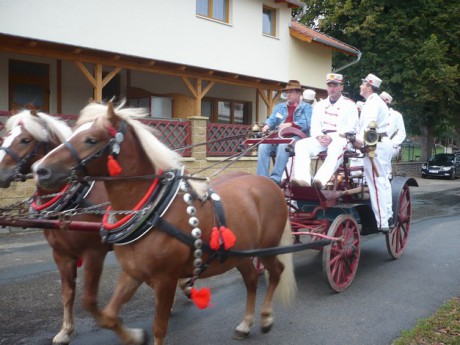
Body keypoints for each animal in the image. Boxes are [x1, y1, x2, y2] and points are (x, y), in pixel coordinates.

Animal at [0, 109, 112, 342]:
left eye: (25, 140)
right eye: (6, 136)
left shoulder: (95, 252)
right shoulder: (61, 253)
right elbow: (67, 292)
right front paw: (65, 330)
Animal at [33, 101, 298, 344]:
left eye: (91, 140)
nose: (40, 170)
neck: (153, 211)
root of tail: (269, 183)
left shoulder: (164, 279)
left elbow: (159, 327)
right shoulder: (132, 273)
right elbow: (107, 315)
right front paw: (134, 336)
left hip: (267, 247)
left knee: (276, 272)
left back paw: (266, 317)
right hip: (239, 253)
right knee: (252, 279)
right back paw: (245, 323)